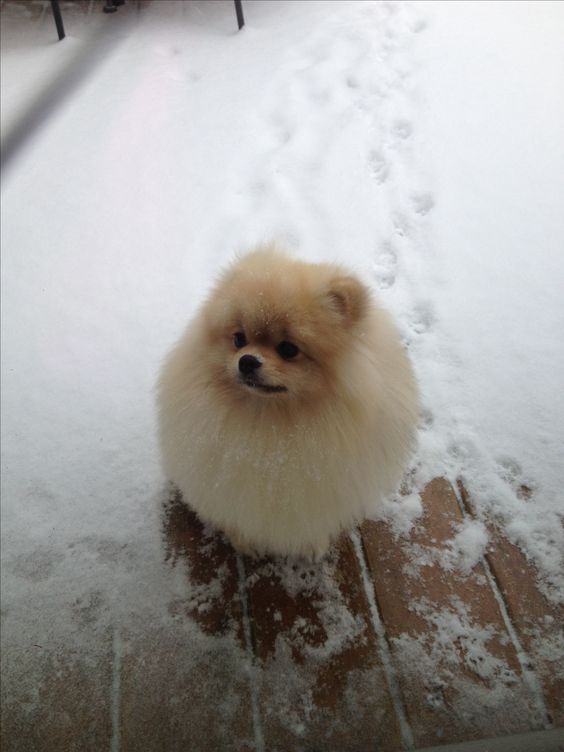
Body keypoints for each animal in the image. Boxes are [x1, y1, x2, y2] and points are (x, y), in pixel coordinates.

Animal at [156, 247, 416, 560]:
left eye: (289, 349)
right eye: (239, 339)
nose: (247, 361)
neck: (268, 423)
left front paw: (313, 546)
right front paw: (244, 542)